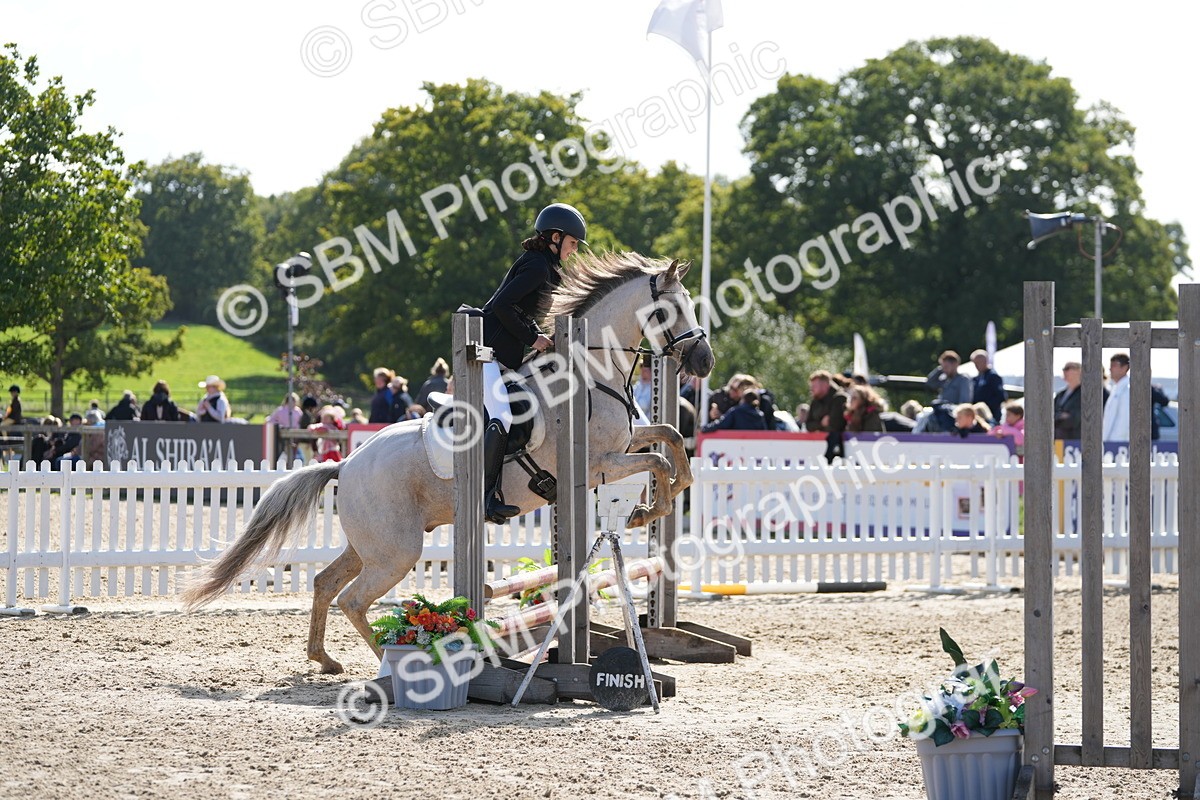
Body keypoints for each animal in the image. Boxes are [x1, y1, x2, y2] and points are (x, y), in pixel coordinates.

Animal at [182, 252, 715, 674]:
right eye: (669, 309)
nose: (704, 361)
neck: (590, 373)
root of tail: (345, 464)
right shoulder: (596, 465)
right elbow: (657, 463)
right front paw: (649, 511)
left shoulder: (626, 443)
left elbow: (670, 442)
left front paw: (657, 505)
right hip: (396, 551)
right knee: (353, 599)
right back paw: (393, 661)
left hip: (372, 544)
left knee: (325, 582)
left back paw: (325, 659)